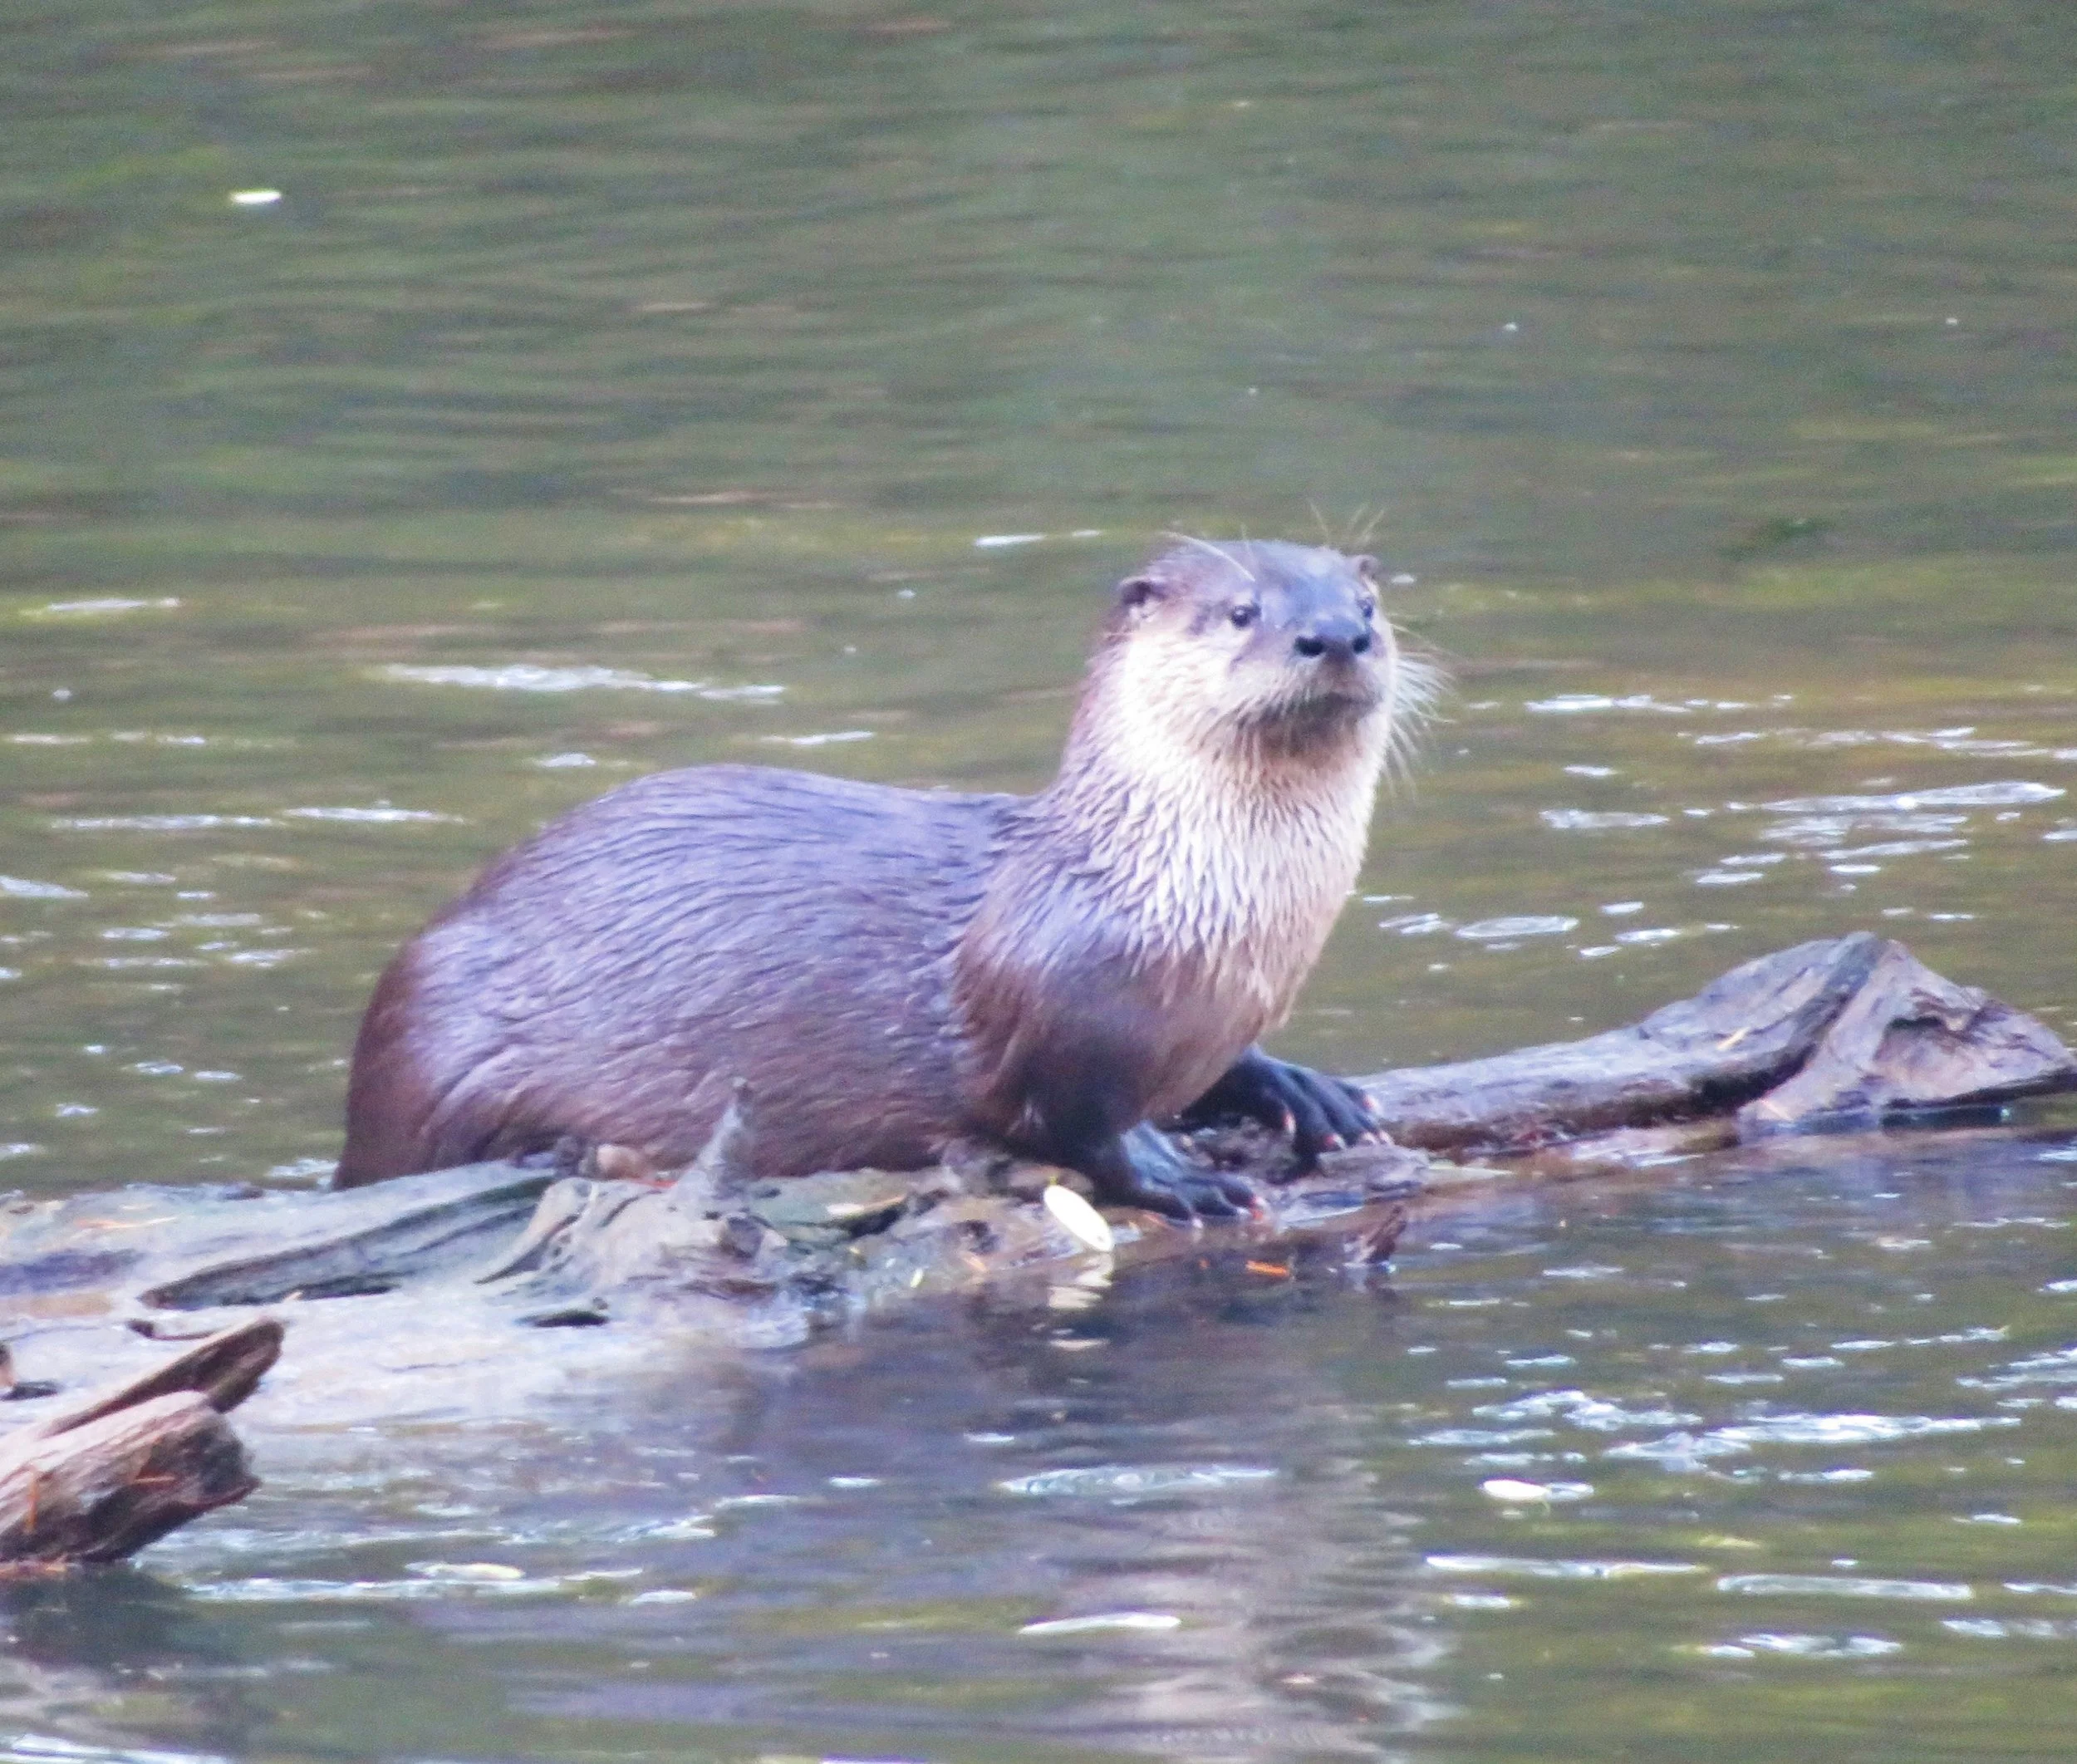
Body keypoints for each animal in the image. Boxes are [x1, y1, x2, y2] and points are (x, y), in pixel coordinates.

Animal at [336, 540, 1437, 1218]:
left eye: (1369, 603)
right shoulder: (1056, 1013)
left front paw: (1297, 1085)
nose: (1335, 635)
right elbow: (1074, 1121)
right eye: (1240, 610)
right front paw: (1179, 1179)